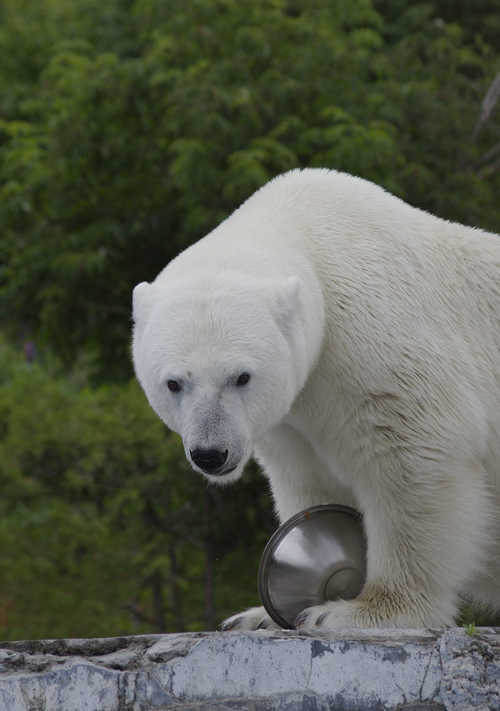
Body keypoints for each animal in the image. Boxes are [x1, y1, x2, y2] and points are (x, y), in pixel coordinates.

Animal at [132, 170, 500, 632]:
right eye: (174, 383)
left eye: (241, 376)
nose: (211, 454)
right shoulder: (290, 416)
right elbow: (309, 479)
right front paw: (257, 617)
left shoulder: (377, 342)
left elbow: (414, 458)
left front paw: (364, 610)